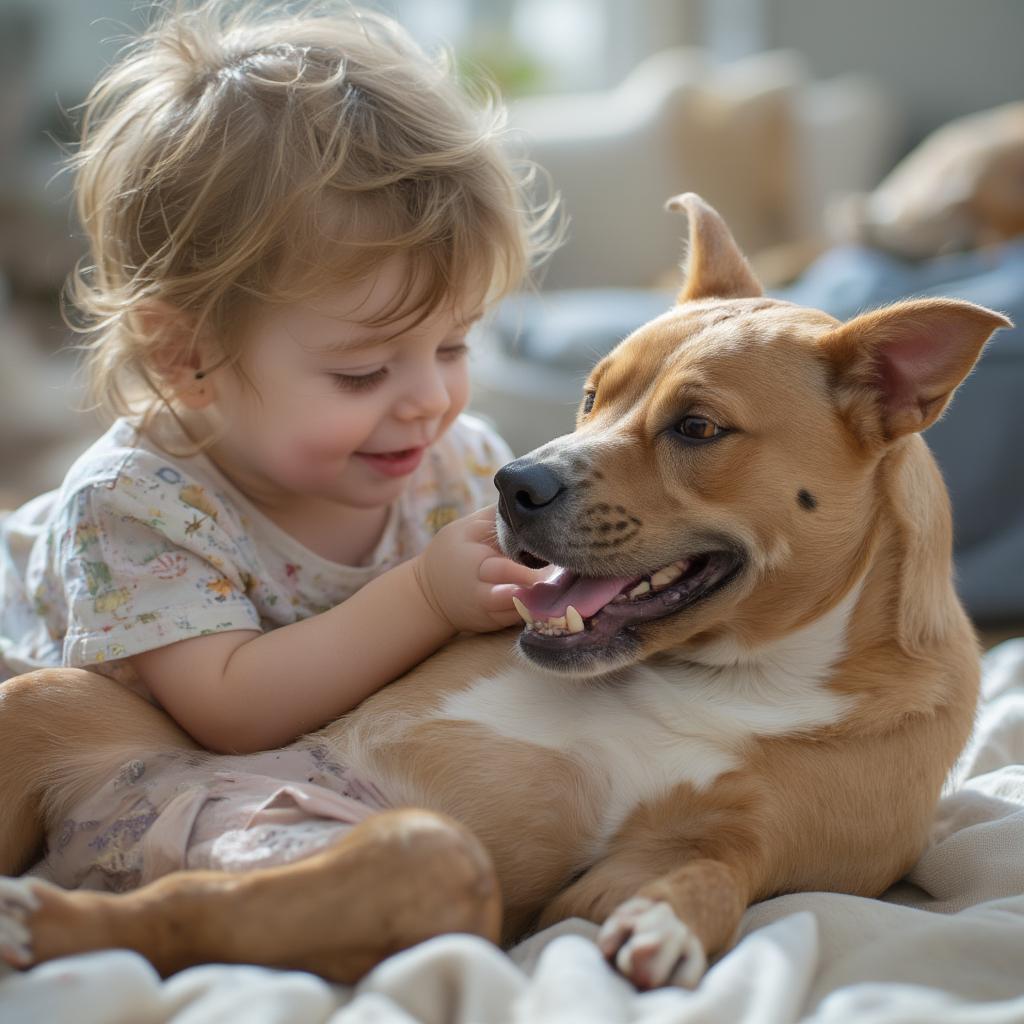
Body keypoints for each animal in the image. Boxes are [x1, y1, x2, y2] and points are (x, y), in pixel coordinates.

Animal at [0, 195, 1007, 987]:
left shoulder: (747, 851)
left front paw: (669, 924)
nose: (516, 483)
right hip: (50, 706)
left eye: (696, 427)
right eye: (592, 396)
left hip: (416, 863)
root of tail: (107, 847)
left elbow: (721, 876)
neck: (745, 674)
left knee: (204, 902)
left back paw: (49, 920)